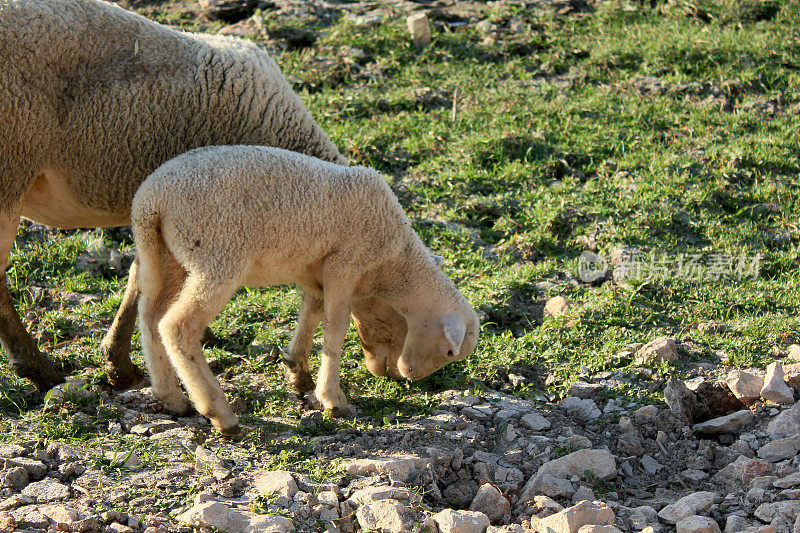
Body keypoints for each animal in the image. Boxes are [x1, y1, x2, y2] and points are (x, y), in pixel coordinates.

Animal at [0, 0, 410, 390]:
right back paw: (39, 370)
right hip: (11, 166)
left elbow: (140, 276)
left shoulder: (157, 211)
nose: (396, 374)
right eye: (393, 301)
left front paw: (119, 360)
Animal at [134, 144, 478, 432]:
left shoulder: (315, 274)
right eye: (450, 351)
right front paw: (332, 399)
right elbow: (335, 329)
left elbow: (311, 314)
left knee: (150, 317)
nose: (406, 376)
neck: (392, 266)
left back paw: (171, 397)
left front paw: (298, 371)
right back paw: (219, 413)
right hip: (217, 257)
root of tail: (149, 201)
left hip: (169, 257)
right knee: (178, 326)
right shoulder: (344, 264)